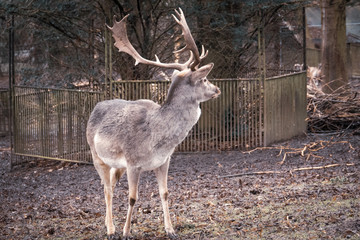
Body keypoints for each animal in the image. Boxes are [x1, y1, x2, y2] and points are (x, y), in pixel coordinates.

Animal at [87, 7, 221, 238]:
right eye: (204, 79)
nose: (217, 89)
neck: (157, 139)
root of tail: (94, 109)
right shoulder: (133, 162)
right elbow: (133, 198)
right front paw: (126, 232)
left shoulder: (164, 161)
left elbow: (165, 193)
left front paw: (170, 229)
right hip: (96, 155)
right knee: (106, 189)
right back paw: (111, 229)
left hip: (116, 165)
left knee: (110, 185)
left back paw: (107, 223)